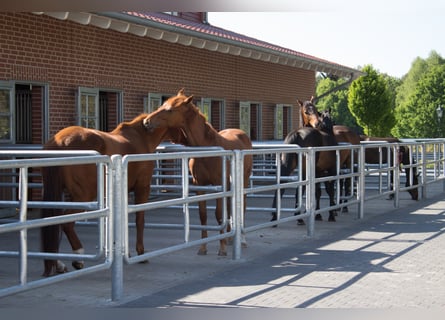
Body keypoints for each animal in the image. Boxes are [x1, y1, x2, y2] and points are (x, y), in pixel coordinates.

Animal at [40, 114, 180, 276]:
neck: (141, 137)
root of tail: (60, 141)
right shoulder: (142, 188)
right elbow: (139, 220)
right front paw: (140, 253)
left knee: (53, 222)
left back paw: (58, 264)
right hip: (83, 196)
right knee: (66, 223)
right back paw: (78, 259)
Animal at [143, 89, 253, 256]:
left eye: (170, 110)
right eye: (162, 105)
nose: (146, 121)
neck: (207, 149)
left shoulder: (219, 185)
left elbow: (219, 215)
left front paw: (222, 249)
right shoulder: (199, 186)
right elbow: (203, 215)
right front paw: (203, 247)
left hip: (243, 181)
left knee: (242, 207)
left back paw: (242, 240)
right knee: (230, 207)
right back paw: (230, 238)